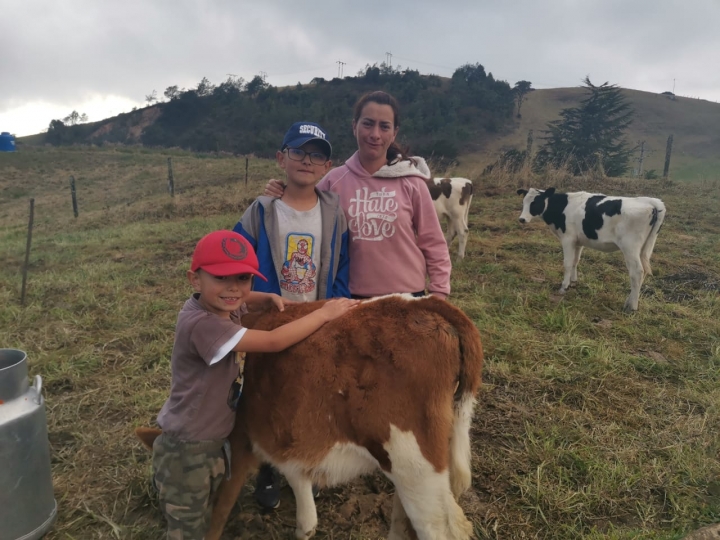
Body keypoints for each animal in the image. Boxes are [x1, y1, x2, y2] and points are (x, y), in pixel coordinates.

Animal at [135, 296, 484, 540]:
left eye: (162, 483)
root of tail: (419, 302)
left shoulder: (248, 443)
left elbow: (221, 510)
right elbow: (304, 506)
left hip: (413, 460)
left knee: (439, 526)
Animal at [516, 187, 668, 310]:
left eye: (535, 202)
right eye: (523, 202)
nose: (522, 219)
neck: (563, 207)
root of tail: (651, 202)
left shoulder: (568, 239)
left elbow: (567, 263)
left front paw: (564, 286)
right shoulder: (578, 241)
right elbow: (575, 261)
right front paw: (573, 282)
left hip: (630, 247)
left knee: (637, 272)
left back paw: (632, 307)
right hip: (643, 249)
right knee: (643, 272)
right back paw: (629, 302)